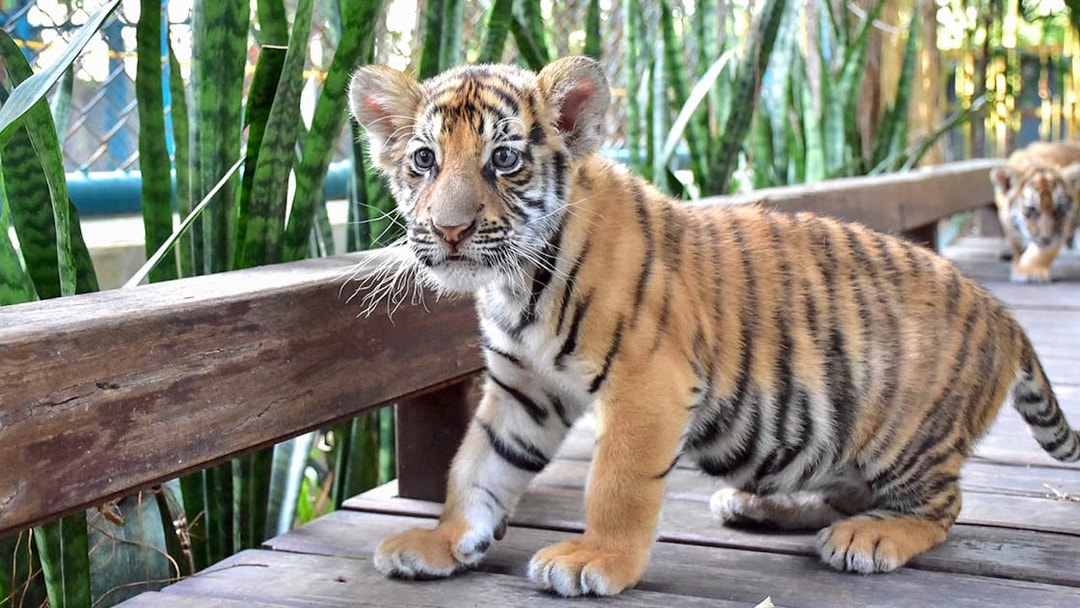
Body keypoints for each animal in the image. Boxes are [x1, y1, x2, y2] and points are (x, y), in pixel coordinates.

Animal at [990, 141, 1080, 283]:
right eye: (1032, 209)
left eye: (1059, 209)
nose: (1046, 238)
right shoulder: (1006, 221)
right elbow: (1016, 245)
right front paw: (1017, 262)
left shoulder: (1063, 225)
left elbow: (1042, 252)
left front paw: (1029, 271)